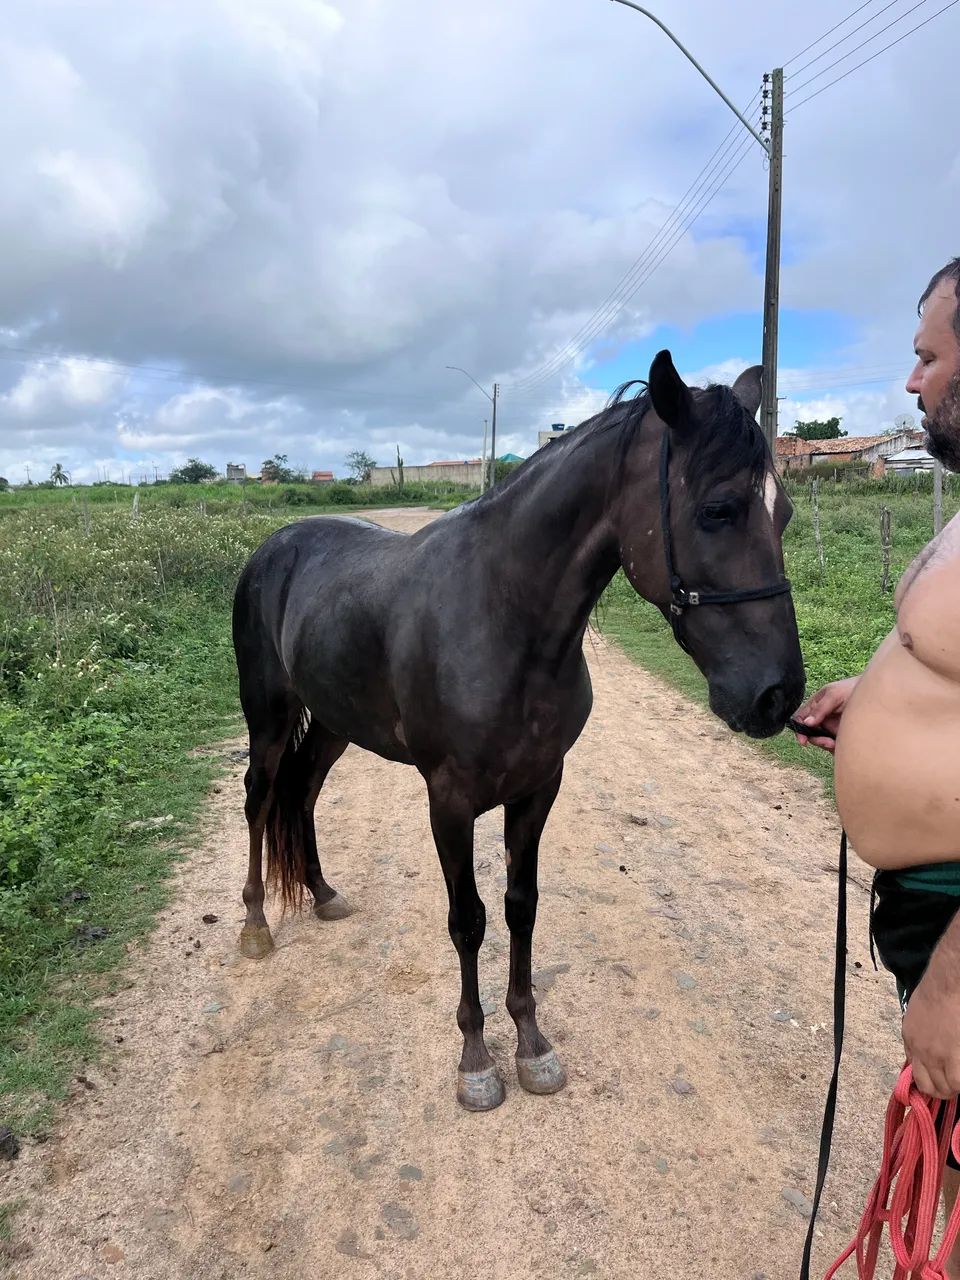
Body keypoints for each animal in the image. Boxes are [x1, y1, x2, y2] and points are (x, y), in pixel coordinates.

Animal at [231, 349, 804, 1111]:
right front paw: (476, 1059)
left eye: (784, 513)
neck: (503, 618)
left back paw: (322, 895)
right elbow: (468, 919)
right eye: (718, 510)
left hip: (331, 724)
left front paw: (532, 1044)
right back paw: (255, 924)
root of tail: (275, 547)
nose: (778, 695)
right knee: (260, 797)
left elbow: (520, 908)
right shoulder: (449, 802)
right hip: (267, 715)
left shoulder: (538, 788)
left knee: (302, 795)